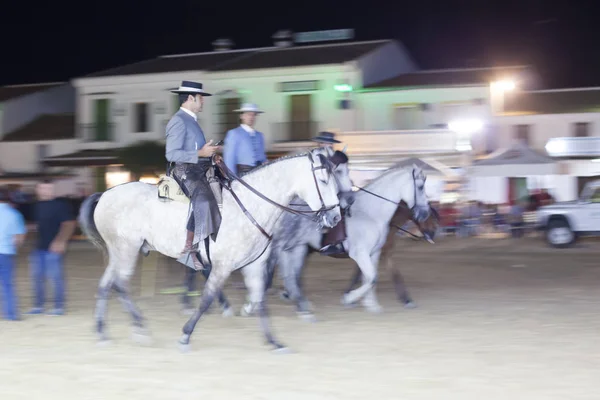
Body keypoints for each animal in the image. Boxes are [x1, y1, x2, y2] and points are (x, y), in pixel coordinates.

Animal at [78, 149, 342, 350]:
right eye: (324, 180)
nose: (336, 217)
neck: (250, 207)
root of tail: (105, 194)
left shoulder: (254, 265)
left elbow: (260, 299)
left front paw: (273, 341)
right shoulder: (223, 265)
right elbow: (206, 298)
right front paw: (185, 334)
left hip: (118, 252)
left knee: (106, 284)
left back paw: (102, 332)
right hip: (127, 249)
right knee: (120, 284)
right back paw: (140, 327)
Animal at [244, 163, 432, 318]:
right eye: (420, 186)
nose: (424, 213)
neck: (370, 213)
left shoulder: (374, 253)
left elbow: (371, 279)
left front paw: (371, 305)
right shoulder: (360, 253)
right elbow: (371, 277)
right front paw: (349, 298)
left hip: (297, 248)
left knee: (290, 274)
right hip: (286, 247)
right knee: (278, 272)